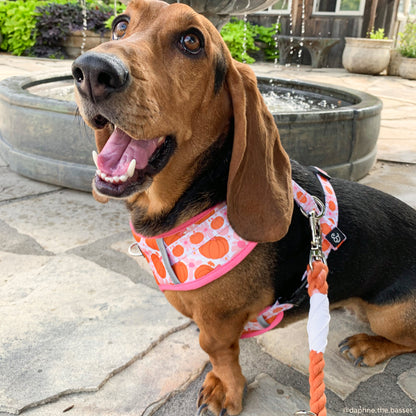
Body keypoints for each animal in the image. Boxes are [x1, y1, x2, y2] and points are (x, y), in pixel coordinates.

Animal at [71, 1, 416, 414]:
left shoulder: (220, 321)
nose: (91, 71)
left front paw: (226, 389)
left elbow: (216, 350)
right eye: (120, 25)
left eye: (192, 41)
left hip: (390, 315)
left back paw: (369, 345)